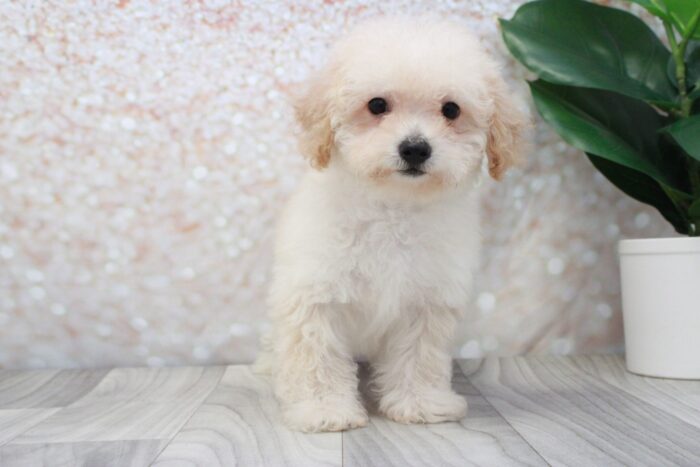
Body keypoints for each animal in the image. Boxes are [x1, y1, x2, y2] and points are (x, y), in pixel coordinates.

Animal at [260, 16, 528, 434]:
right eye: (377, 105)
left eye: (451, 109)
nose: (415, 148)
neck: (393, 208)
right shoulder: (315, 293)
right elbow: (317, 355)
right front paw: (324, 409)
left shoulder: (426, 300)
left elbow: (419, 356)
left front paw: (421, 403)